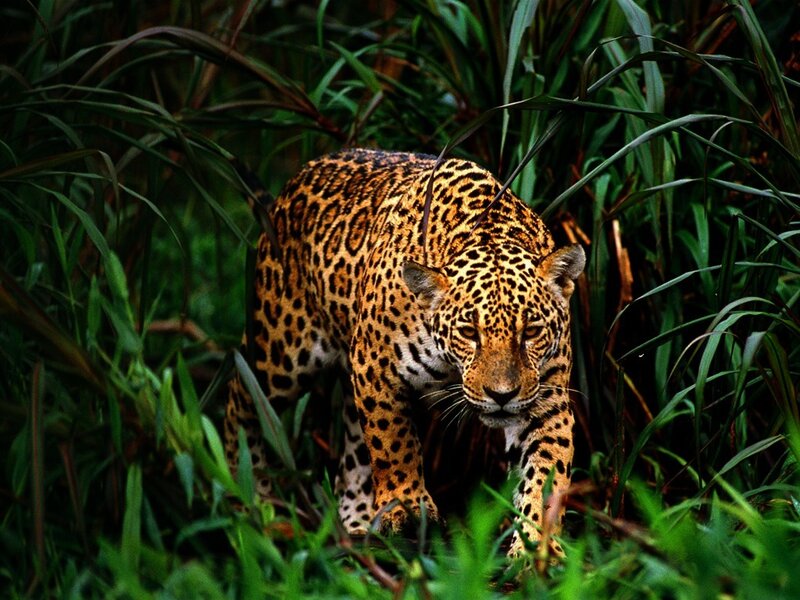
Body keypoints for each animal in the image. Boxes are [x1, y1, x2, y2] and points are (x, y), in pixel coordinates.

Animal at [224, 148, 585, 557]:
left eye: (531, 332)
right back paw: (249, 496)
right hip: (280, 350)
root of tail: (295, 181)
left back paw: (357, 520)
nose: (502, 395)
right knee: (241, 397)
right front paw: (408, 507)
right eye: (469, 332)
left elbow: (545, 474)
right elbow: (393, 443)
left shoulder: (547, 400)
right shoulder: (375, 368)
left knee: (353, 444)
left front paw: (538, 550)